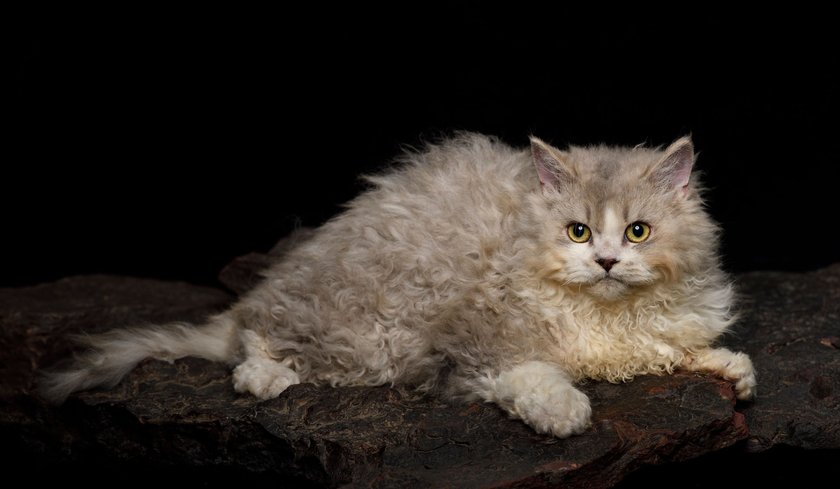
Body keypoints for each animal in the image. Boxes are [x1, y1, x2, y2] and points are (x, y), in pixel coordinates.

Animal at [41, 134, 756, 438]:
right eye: (578, 232)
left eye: (637, 231)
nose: (606, 261)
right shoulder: (474, 336)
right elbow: (529, 373)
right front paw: (565, 413)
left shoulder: (653, 327)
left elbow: (670, 348)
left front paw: (728, 367)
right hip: (363, 334)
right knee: (257, 338)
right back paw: (263, 376)